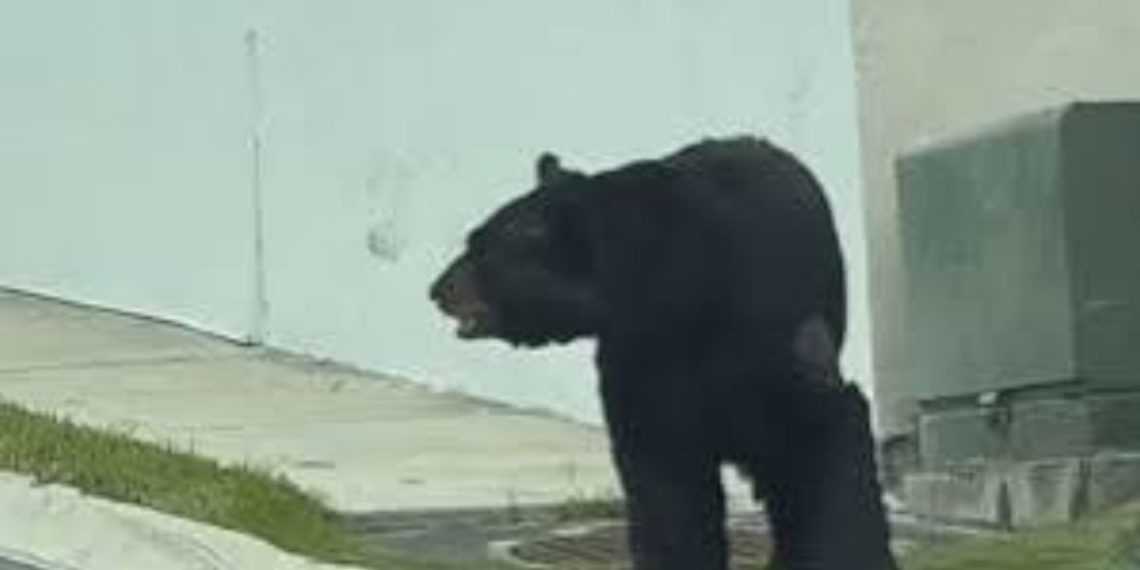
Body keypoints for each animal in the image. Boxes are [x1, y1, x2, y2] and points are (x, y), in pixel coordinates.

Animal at [429, 137, 897, 570]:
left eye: (480, 248)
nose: (435, 289)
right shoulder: (644, 362)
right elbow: (666, 483)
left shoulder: (773, 336)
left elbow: (822, 441)